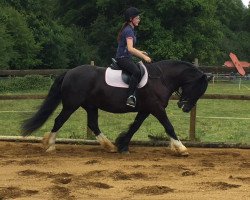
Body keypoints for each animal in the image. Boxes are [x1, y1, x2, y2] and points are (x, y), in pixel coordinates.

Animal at [21, 59, 209, 156]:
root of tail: (69, 72)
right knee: (59, 120)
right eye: (198, 88)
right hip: (71, 105)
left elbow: (135, 126)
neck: (161, 78)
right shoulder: (156, 108)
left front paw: (122, 145)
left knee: (93, 124)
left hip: (91, 106)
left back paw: (109, 146)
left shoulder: (146, 109)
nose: (184, 107)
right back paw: (50, 145)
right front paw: (181, 148)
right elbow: (168, 126)